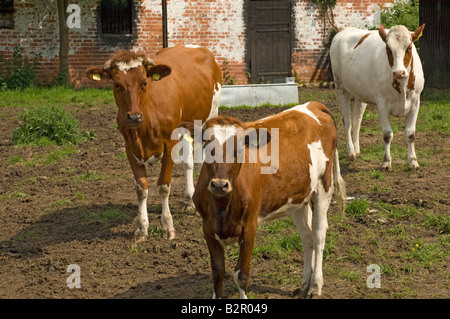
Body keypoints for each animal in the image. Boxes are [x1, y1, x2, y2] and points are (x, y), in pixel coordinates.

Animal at [86, 45, 221, 242]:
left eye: (144, 83)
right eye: (117, 84)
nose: (134, 117)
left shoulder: (169, 144)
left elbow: (164, 186)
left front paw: (168, 226)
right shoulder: (129, 148)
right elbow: (141, 188)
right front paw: (141, 228)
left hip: (210, 115)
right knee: (188, 162)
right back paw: (189, 199)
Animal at [181, 102, 346, 300]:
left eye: (239, 149)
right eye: (206, 146)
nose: (219, 184)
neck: (222, 205)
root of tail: (313, 104)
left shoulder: (249, 227)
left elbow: (241, 275)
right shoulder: (208, 228)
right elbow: (217, 273)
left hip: (323, 187)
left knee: (319, 235)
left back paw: (315, 286)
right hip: (299, 198)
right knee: (307, 238)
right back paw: (304, 286)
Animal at [330, 24, 426, 171]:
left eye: (409, 47)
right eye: (388, 48)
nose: (399, 72)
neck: (402, 86)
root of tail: (345, 30)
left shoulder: (415, 103)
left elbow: (411, 134)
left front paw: (413, 161)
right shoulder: (382, 104)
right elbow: (387, 134)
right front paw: (386, 162)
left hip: (360, 93)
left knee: (357, 119)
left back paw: (357, 150)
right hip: (340, 87)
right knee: (347, 121)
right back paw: (351, 152)